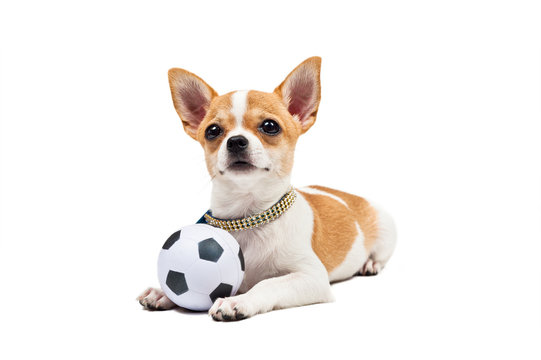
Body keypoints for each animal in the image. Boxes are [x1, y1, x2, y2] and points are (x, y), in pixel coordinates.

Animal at [137, 56, 394, 320]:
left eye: (270, 126)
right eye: (213, 131)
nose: (236, 141)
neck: (248, 216)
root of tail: (348, 195)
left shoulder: (311, 276)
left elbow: (268, 283)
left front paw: (238, 300)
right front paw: (163, 293)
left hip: (386, 231)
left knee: (381, 256)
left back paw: (370, 264)